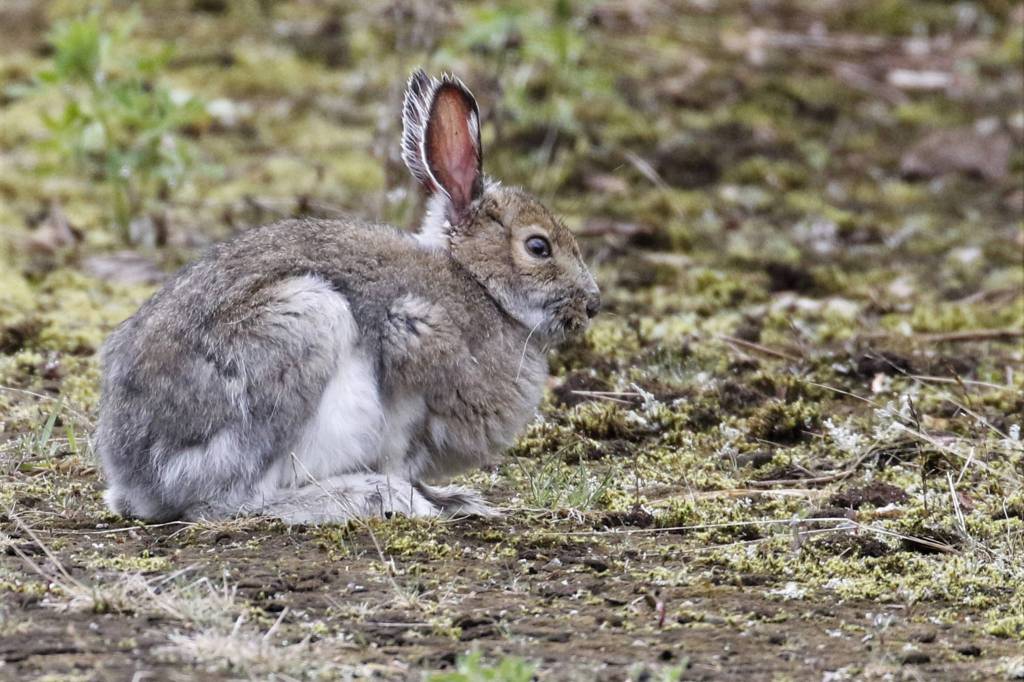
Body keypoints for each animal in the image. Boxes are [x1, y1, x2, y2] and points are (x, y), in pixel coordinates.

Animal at [95, 69, 601, 525]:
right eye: (538, 247)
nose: (593, 304)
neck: (477, 284)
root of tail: (136, 476)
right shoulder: (410, 348)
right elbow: (399, 450)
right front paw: (420, 499)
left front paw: (454, 499)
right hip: (302, 326)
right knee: (225, 502)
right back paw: (363, 499)